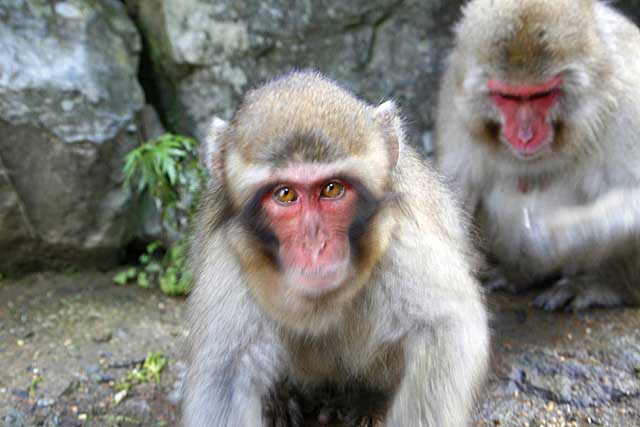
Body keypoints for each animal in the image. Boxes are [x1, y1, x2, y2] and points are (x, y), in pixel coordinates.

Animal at [182, 72, 488, 426]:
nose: (315, 245)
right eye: (285, 194)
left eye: (332, 189)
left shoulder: (398, 240)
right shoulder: (231, 257)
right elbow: (224, 376)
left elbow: (446, 330)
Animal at [432, 0, 640, 310]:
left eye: (542, 95)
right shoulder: (455, 100)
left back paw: (604, 286)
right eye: (508, 97)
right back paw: (516, 275)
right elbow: (456, 189)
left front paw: (557, 237)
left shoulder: (630, 105)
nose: (525, 135)